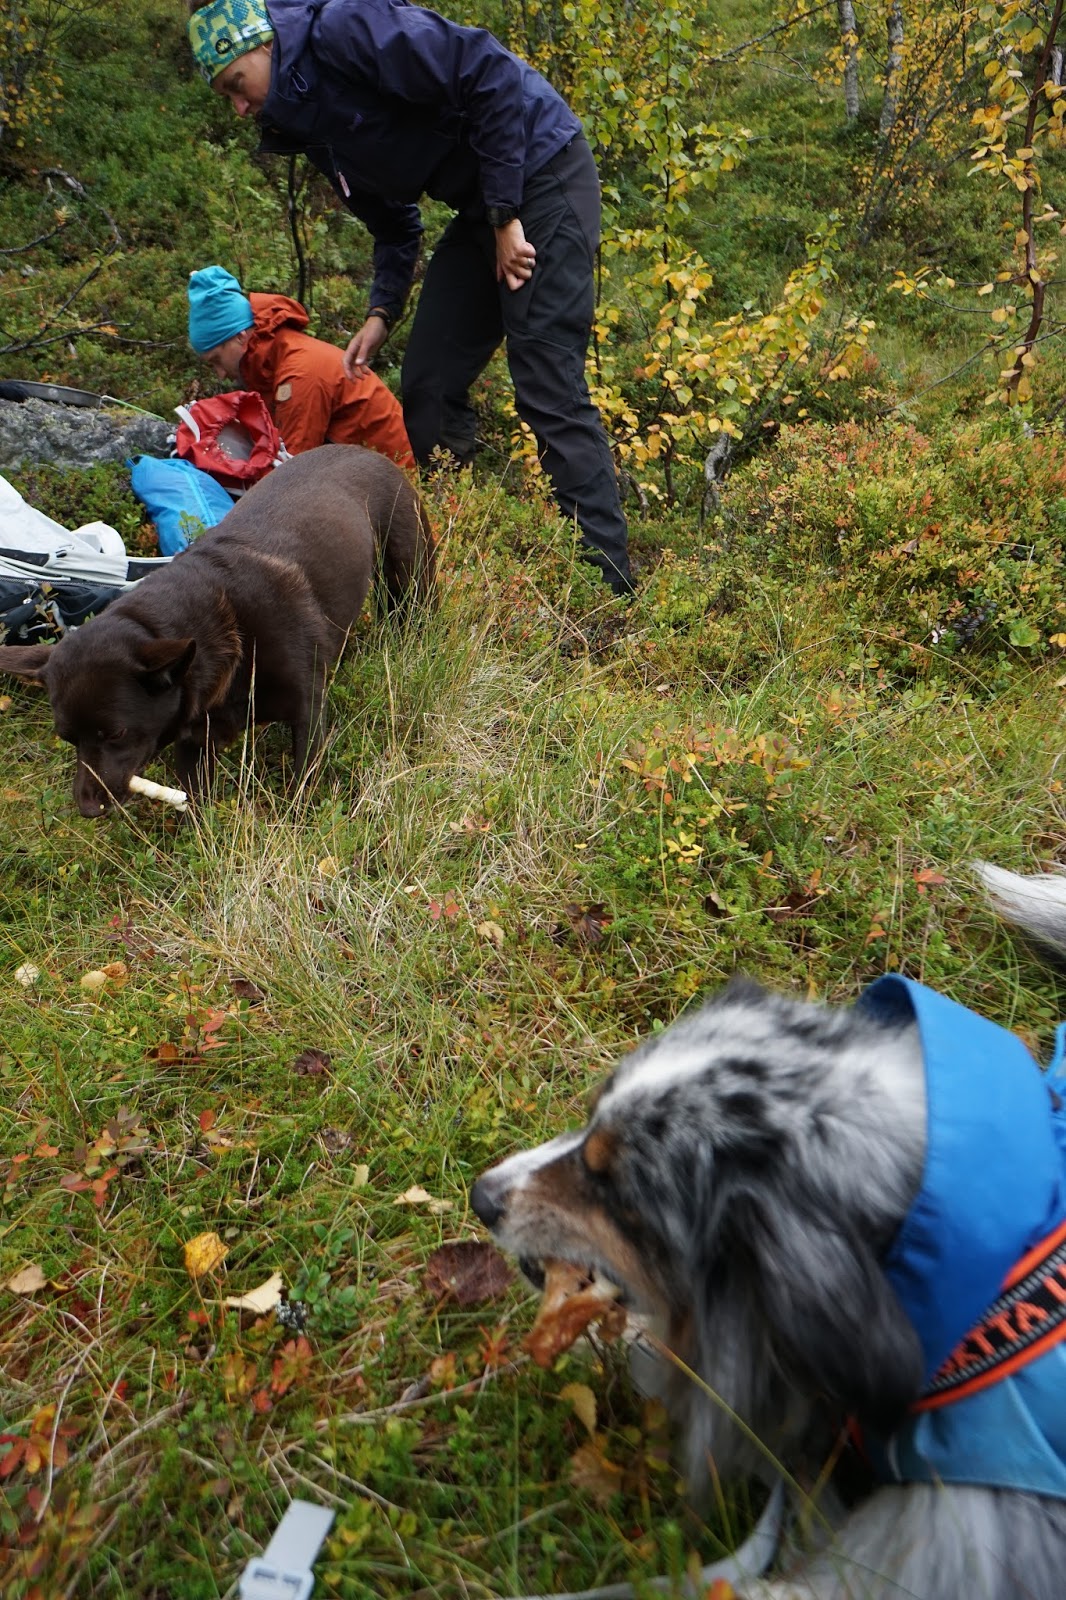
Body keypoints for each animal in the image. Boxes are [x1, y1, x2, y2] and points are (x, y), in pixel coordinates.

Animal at [0, 444, 433, 815]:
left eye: (116, 734)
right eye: (67, 738)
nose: (88, 809)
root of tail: (366, 451)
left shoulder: (308, 713)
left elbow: (302, 784)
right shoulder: (195, 743)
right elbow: (197, 806)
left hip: (410, 575)